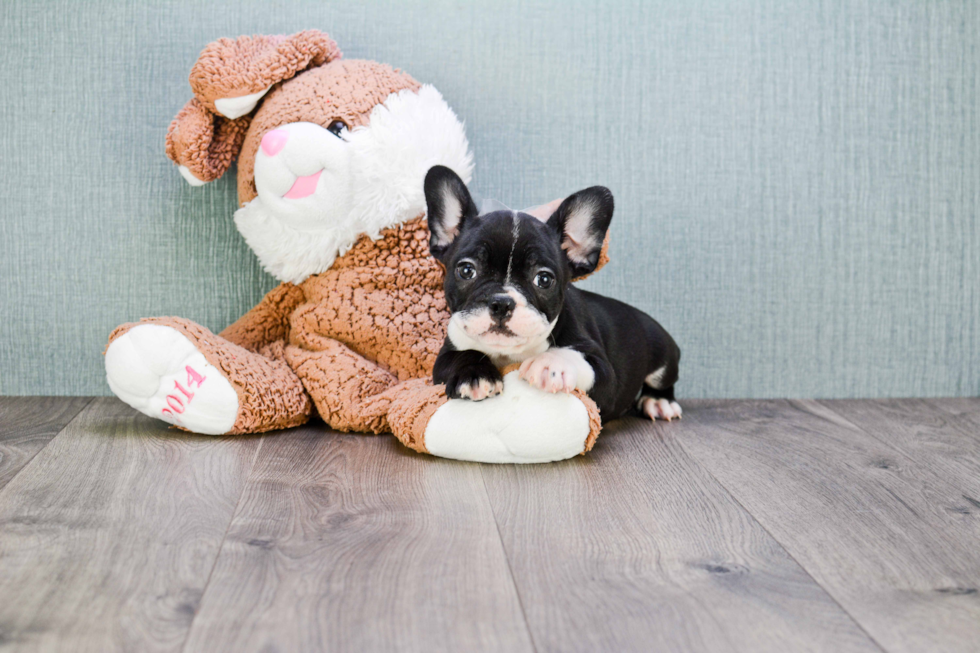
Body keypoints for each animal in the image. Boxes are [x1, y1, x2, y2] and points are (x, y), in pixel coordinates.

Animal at [424, 166, 684, 422]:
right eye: (467, 270)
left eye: (544, 279)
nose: (502, 302)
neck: (509, 354)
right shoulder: (445, 355)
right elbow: (462, 355)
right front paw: (473, 374)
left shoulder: (605, 376)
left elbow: (577, 358)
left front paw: (549, 363)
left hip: (662, 355)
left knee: (663, 381)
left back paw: (659, 402)